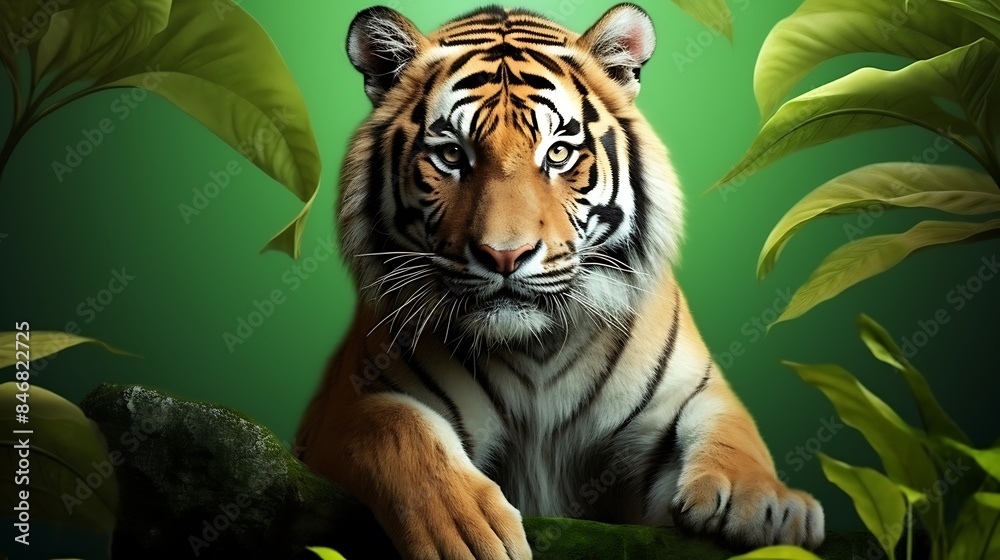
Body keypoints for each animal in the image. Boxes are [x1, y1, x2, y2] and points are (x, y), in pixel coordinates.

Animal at [296, 3, 825, 558]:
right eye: (452, 155)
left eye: (557, 154)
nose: (504, 255)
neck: (535, 347)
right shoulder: (346, 406)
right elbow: (393, 427)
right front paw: (465, 531)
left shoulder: (686, 396)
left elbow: (735, 426)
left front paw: (769, 504)